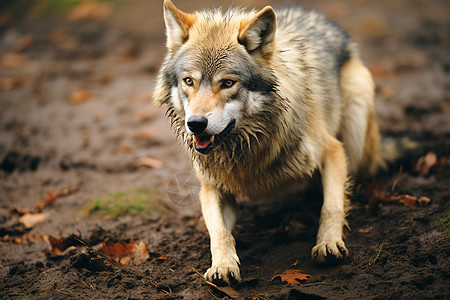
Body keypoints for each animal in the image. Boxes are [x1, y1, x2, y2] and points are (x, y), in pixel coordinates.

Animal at [153, 0, 392, 286]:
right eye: (189, 81)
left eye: (228, 83)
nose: (196, 124)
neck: (247, 149)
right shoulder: (212, 185)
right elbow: (219, 231)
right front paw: (223, 265)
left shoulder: (332, 150)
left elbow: (331, 206)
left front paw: (328, 244)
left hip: (357, 109)